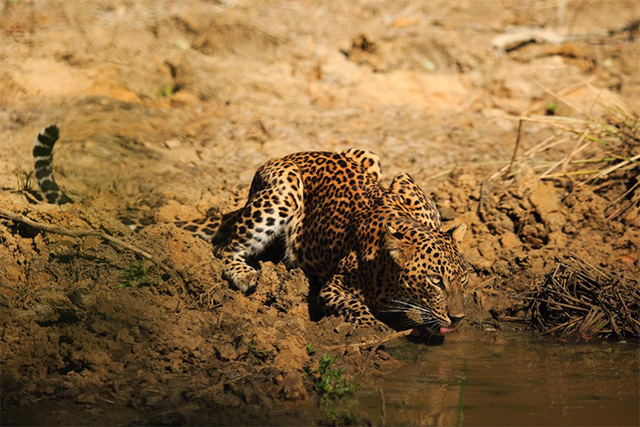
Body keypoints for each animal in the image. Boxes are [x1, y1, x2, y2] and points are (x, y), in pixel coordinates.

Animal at [32, 123, 468, 334]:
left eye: (463, 278)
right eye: (434, 280)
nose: (461, 318)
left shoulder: (406, 183)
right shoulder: (334, 288)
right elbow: (358, 308)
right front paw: (377, 330)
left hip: (366, 153)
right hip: (283, 191)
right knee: (224, 247)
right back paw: (247, 275)